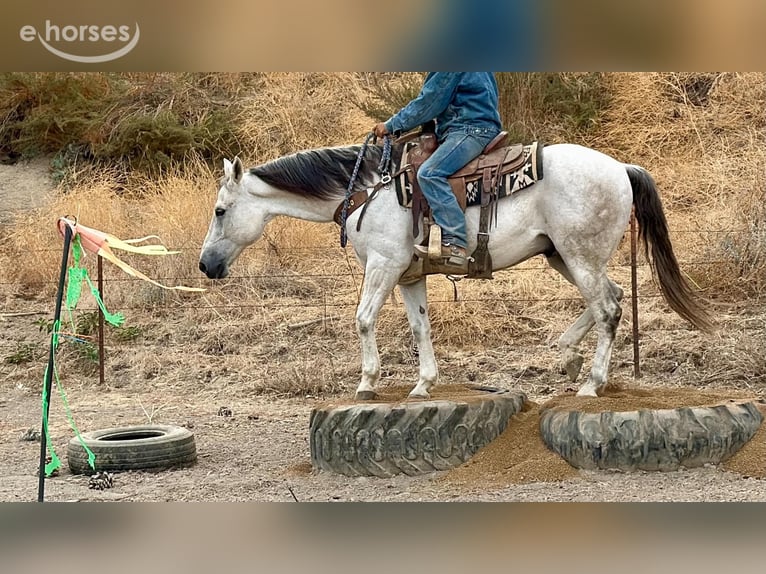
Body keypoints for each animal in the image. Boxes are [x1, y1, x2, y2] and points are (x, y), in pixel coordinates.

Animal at [198, 141, 713, 400]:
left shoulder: (384, 265)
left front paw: (367, 383)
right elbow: (419, 328)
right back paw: (567, 356)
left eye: (221, 211)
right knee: (614, 297)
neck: (366, 190)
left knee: (608, 308)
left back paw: (591, 383)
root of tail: (620, 167)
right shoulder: (408, 274)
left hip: (578, 255)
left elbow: (363, 320)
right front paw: (423, 384)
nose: (206, 265)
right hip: (563, 256)